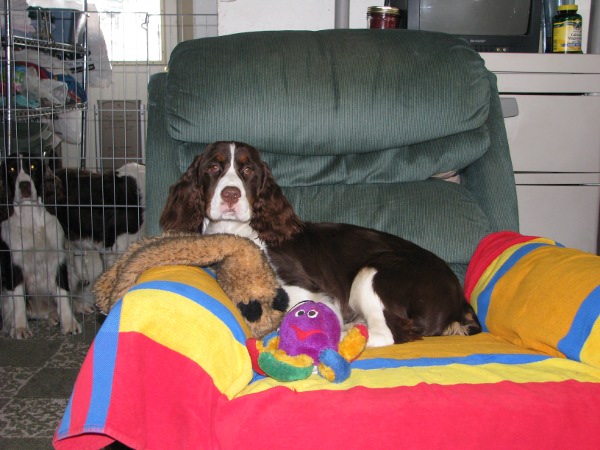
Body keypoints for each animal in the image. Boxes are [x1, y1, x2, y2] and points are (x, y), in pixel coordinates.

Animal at [0, 155, 81, 338]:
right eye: (11, 169)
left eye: (32, 166)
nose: (24, 185)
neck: (31, 220)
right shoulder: (14, 265)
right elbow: (18, 299)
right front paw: (21, 328)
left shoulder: (58, 259)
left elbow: (63, 294)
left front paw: (69, 323)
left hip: (71, 273)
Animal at [159, 142, 482, 346]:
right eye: (213, 167)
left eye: (248, 170)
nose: (230, 195)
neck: (240, 231)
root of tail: (458, 297)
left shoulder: (309, 289)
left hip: (375, 272)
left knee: (387, 334)